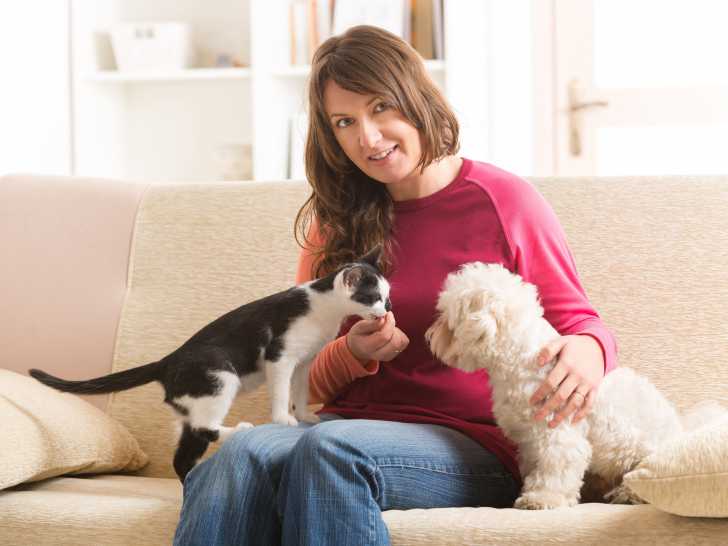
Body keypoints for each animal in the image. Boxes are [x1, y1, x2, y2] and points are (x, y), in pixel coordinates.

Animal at [30, 245, 392, 476]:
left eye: (386, 298)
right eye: (373, 297)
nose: (386, 310)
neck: (324, 310)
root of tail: (167, 361)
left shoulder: (305, 363)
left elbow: (300, 391)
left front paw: (303, 415)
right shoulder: (280, 357)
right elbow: (281, 392)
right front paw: (283, 419)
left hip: (192, 405)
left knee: (185, 452)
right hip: (219, 377)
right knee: (206, 429)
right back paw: (241, 430)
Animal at [424, 262, 720, 508]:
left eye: (446, 320)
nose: (428, 336)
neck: (523, 359)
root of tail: (681, 429)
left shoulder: (558, 433)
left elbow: (556, 470)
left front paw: (541, 499)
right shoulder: (530, 441)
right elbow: (535, 468)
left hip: (644, 458)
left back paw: (626, 495)